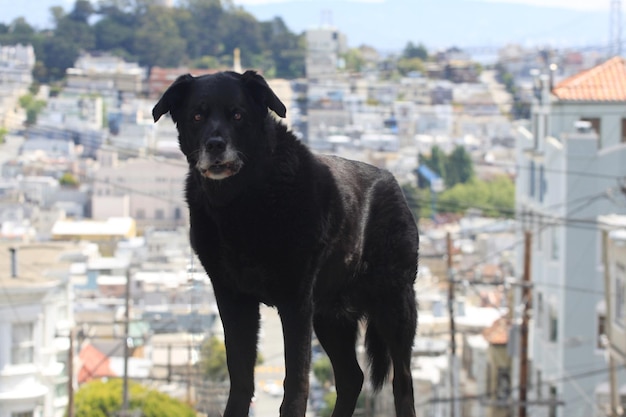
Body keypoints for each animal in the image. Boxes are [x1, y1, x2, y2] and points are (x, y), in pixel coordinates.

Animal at [152, 70, 416, 414]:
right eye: (197, 116)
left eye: (238, 115)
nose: (215, 145)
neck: (241, 202)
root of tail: (393, 182)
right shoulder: (233, 298)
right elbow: (240, 378)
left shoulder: (295, 302)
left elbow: (296, 382)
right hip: (329, 316)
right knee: (351, 377)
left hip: (394, 306)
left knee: (403, 382)